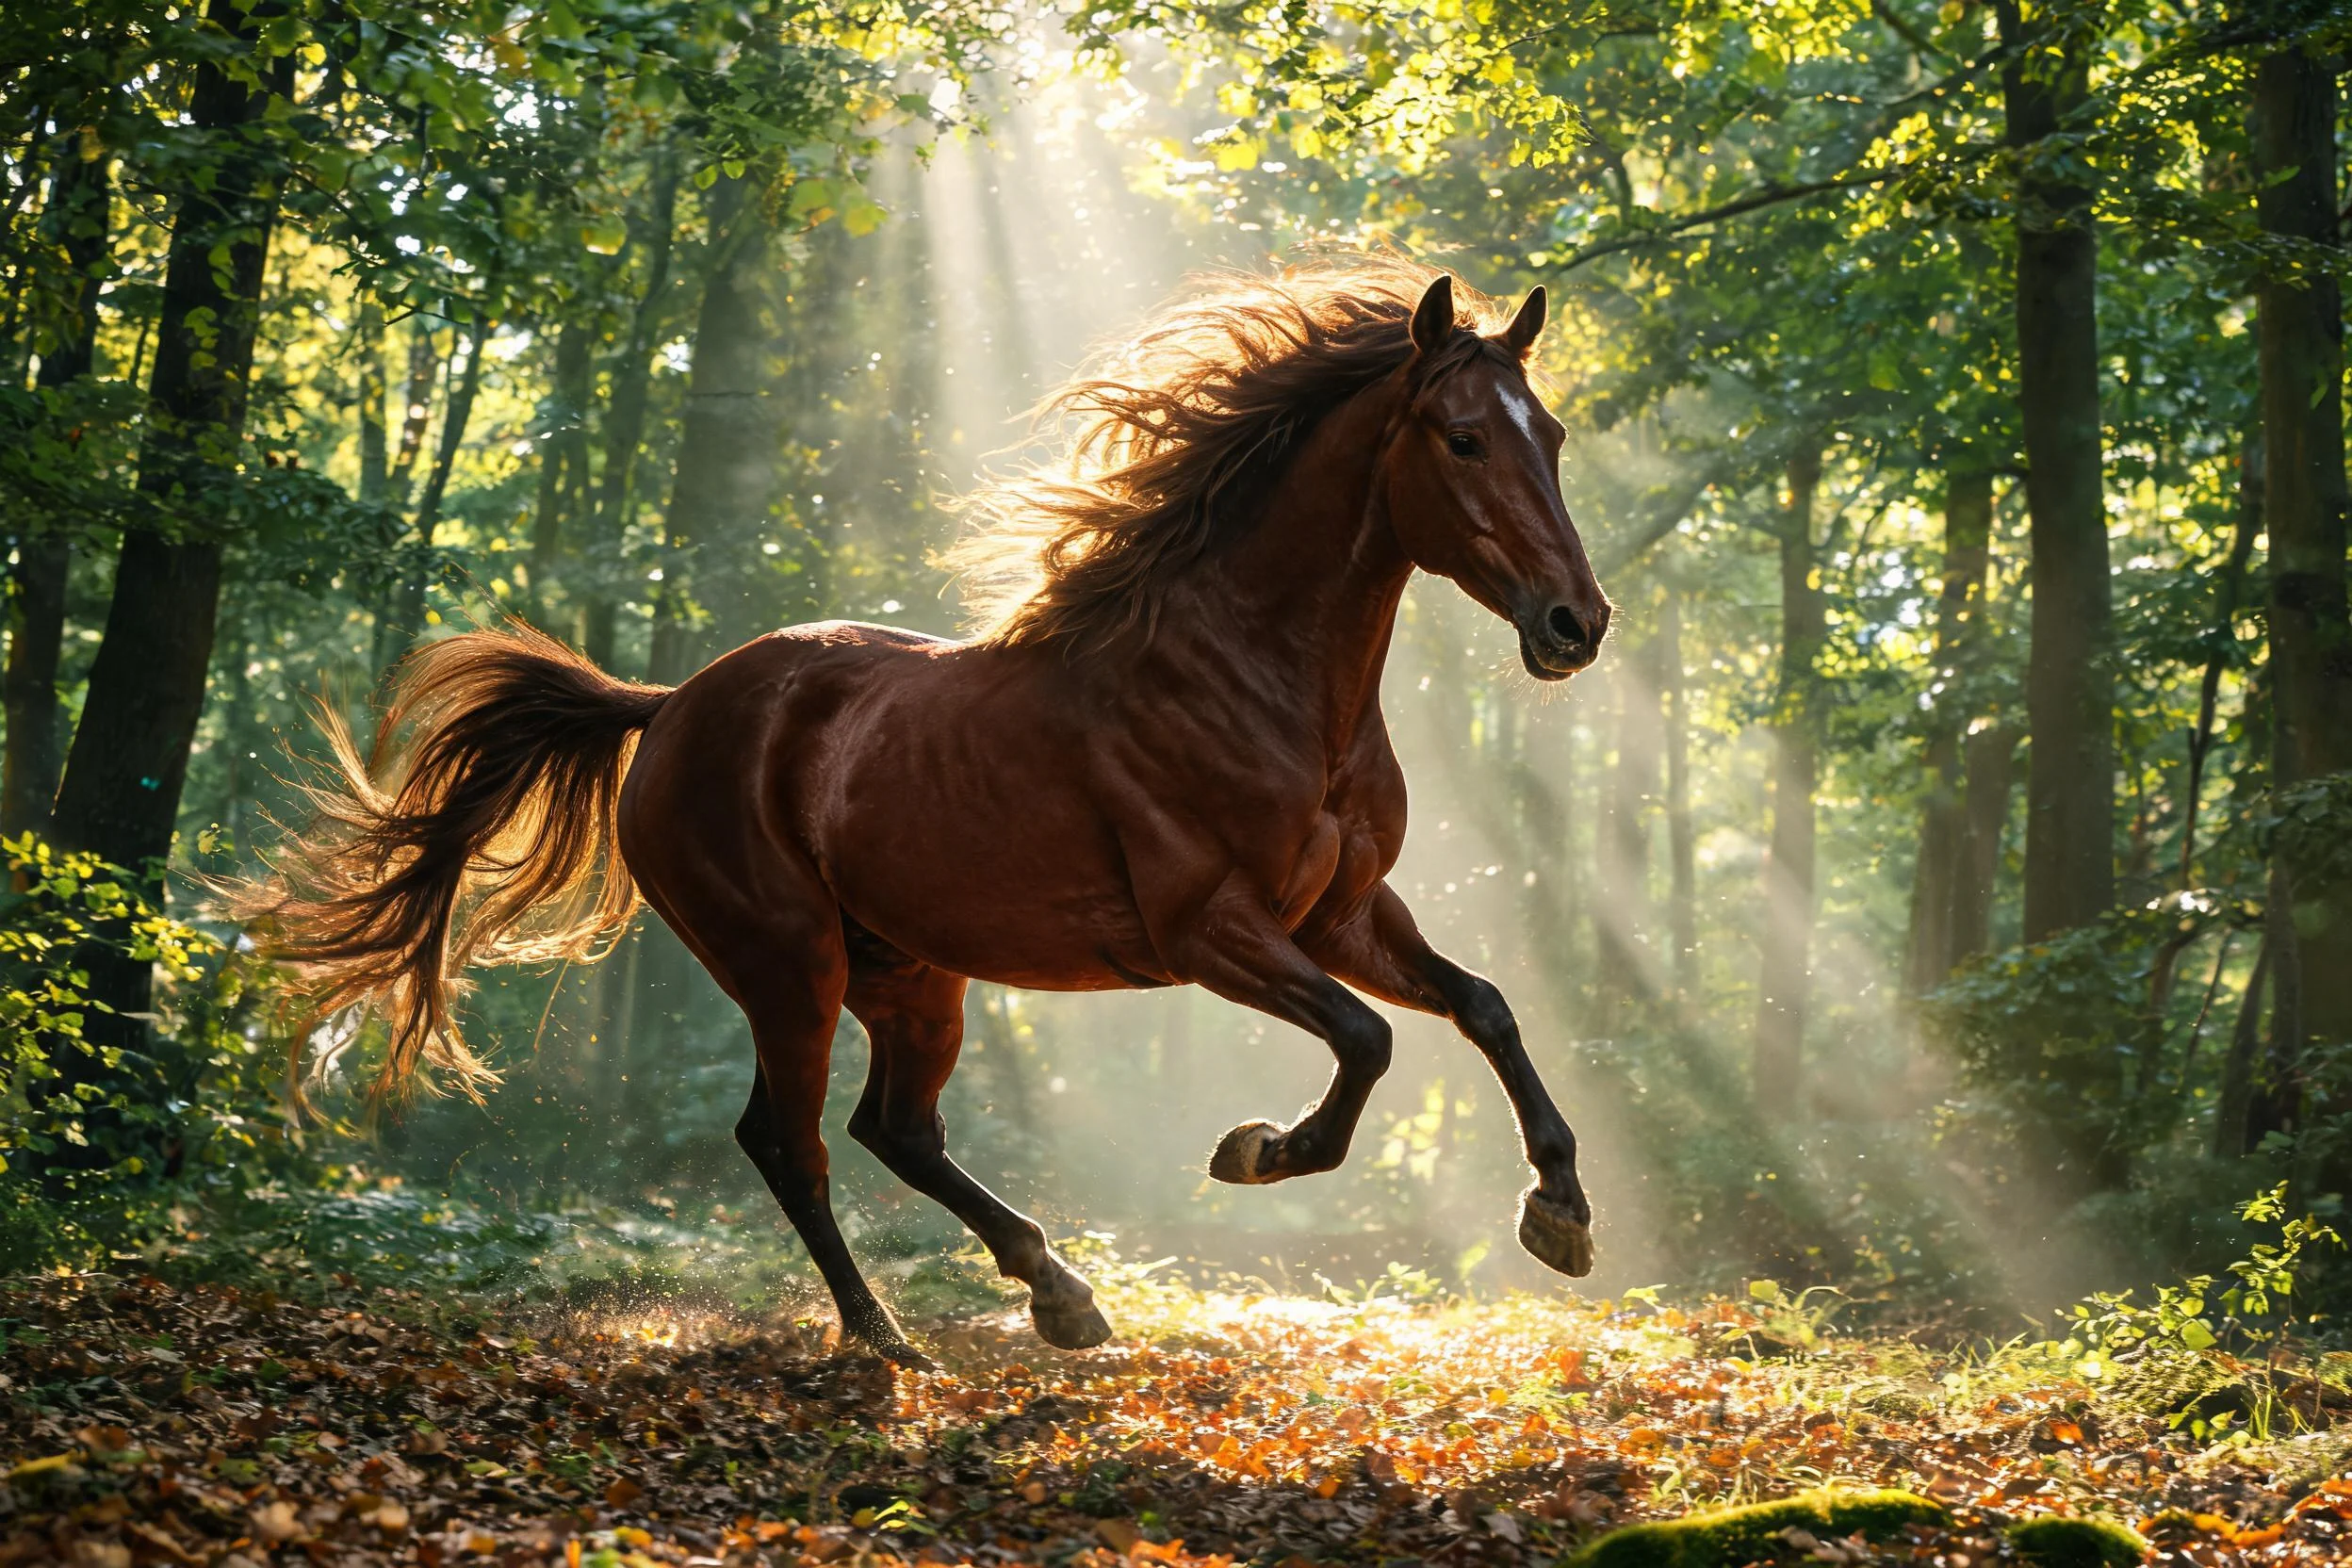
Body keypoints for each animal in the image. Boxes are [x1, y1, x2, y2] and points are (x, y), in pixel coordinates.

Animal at [247, 260, 1612, 1362]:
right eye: (1461, 439)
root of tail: (672, 703)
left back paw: (1058, 1293)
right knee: (789, 1139)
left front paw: (1562, 1213)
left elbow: (1484, 1008)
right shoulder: (1210, 930)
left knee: (892, 1127)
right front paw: (1257, 1150)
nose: (1575, 624)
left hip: (911, 971)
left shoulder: (1341, 915)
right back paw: (883, 1333)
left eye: (1546, 432)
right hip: (788, 962)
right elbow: (1369, 1043)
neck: (1254, 678)